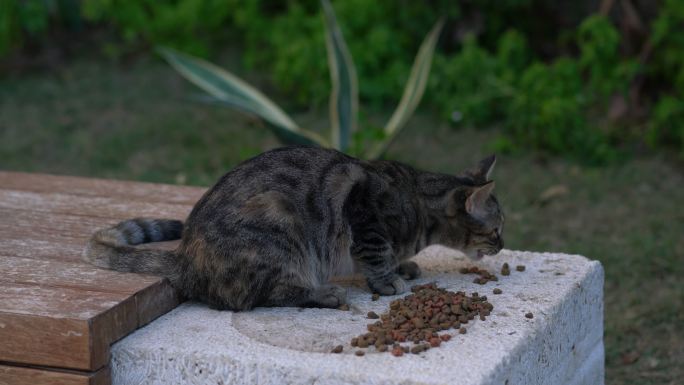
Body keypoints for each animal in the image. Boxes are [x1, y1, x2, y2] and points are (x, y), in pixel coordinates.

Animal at [83, 146, 504, 310]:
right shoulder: (365, 213)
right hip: (279, 227)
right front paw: (388, 280)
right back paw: (324, 294)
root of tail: (185, 257)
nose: (503, 244)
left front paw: (405, 266)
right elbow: (376, 255)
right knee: (263, 296)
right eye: (498, 229)